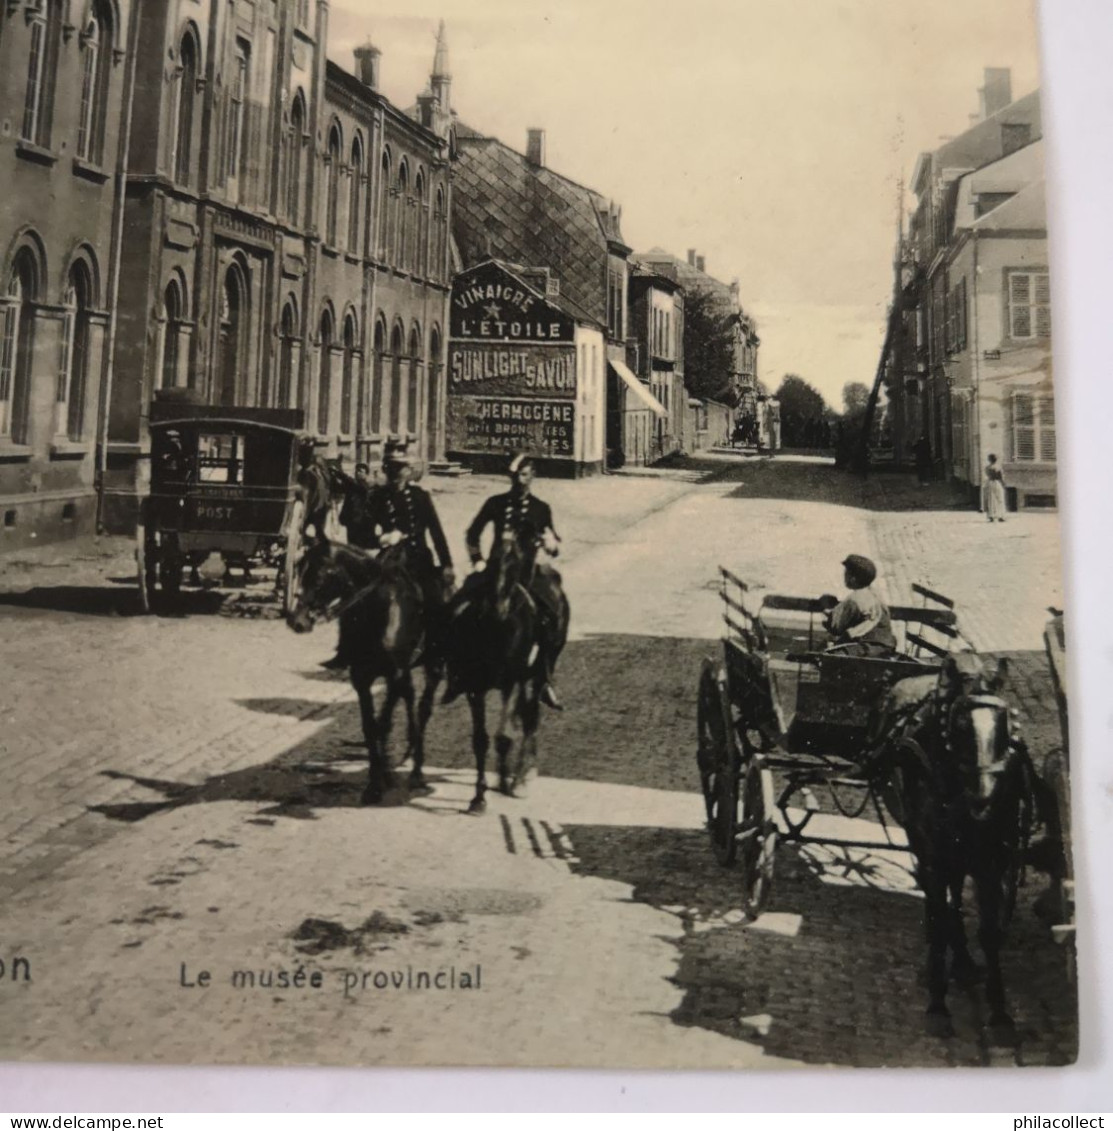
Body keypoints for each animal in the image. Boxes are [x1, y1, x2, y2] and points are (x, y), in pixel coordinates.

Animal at [287, 538, 438, 805]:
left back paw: (417, 769)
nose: (297, 621)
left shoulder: (394, 674)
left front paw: (381, 778)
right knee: (410, 697)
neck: (377, 612)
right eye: (299, 570)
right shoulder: (361, 679)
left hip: (430, 666)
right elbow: (370, 727)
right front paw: (376, 781)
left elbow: (383, 722)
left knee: (423, 707)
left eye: (318, 575)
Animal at [441, 529, 570, 814]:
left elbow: (504, 736)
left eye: (515, 568)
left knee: (531, 718)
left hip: (536, 675)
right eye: (491, 565)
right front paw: (479, 796)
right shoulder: (475, 687)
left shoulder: (514, 682)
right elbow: (481, 740)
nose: (498, 609)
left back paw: (523, 777)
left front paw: (506, 782)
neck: (495, 631)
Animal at [873, 655, 1040, 1040]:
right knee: (940, 898)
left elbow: (989, 933)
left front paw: (999, 1012)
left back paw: (962, 961)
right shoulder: (935, 854)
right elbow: (937, 922)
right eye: (959, 727)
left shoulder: (992, 859)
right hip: (924, 843)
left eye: (1006, 725)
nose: (984, 798)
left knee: (954, 896)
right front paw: (937, 1005)